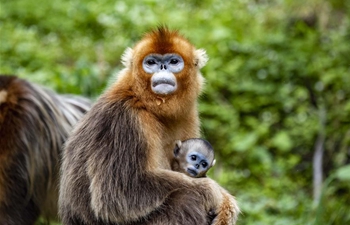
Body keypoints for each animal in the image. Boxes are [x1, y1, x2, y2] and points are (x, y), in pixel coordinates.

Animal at [58, 27, 238, 225]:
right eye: (151, 62)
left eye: (173, 61)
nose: (162, 67)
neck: (143, 102)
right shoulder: (125, 120)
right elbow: (117, 196)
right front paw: (212, 190)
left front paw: (226, 205)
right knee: (187, 200)